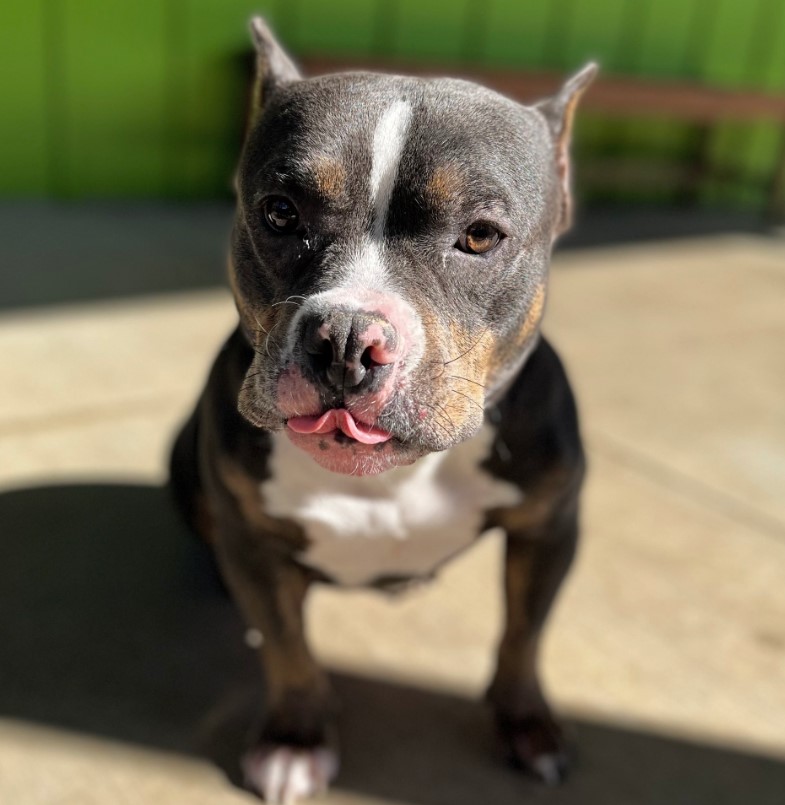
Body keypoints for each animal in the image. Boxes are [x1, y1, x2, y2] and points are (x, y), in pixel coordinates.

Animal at [170, 17, 596, 796]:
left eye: (480, 235)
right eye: (280, 213)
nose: (344, 338)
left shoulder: (548, 528)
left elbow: (523, 634)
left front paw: (527, 722)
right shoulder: (253, 544)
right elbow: (286, 648)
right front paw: (295, 738)